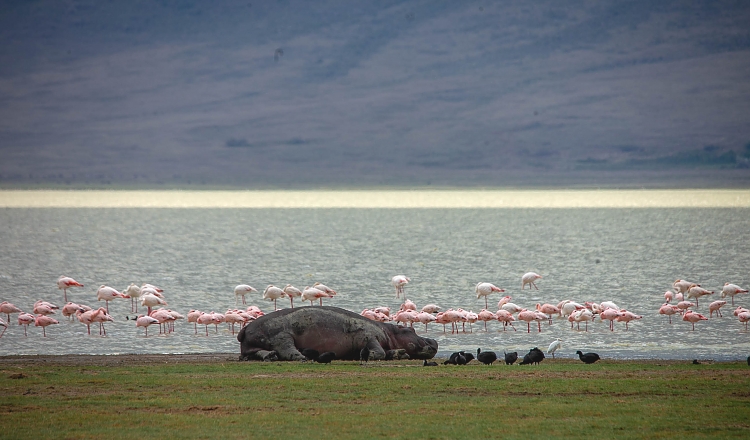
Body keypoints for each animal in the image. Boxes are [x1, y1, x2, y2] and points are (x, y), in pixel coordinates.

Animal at [237, 306, 438, 362]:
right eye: (410, 329)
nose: (434, 341)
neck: (389, 332)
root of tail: (246, 328)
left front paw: (399, 354)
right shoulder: (369, 335)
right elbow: (378, 350)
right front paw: (372, 355)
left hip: (251, 345)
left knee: (255, 352)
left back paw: (269, 356)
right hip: (283, 335)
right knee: (286, 348)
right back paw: (300, 356)